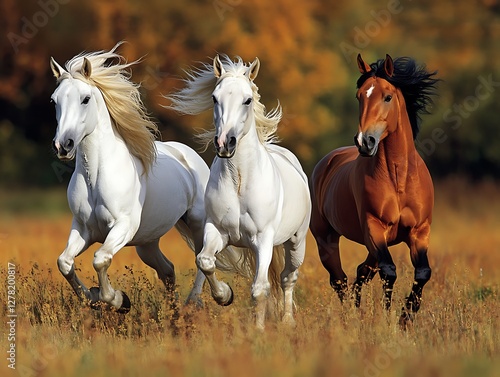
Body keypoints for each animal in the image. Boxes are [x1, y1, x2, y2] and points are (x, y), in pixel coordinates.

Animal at [48, 44, 211, 310]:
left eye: (85, 99)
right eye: (54, 101)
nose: (63, 145)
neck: (95, 176)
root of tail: (189, 156)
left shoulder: (123, 226)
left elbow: (100, 259)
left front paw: (117, 300)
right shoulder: (83, 229)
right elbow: (64, 262)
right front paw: (93, 298)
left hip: (197, 223)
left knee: (203, 260)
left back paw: (200, 301)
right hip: (147, 242)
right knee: (168, 269)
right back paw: (174, 311)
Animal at [168, 54, 312, 328]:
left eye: (247, 100)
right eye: (215, 98)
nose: (225, 143)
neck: (239, 182)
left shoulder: (263, 239)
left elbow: (259, 289)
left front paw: (258, 331)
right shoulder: (217, 231)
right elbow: (205, 261)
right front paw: (224, 295)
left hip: (295, 242)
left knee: (288, 278)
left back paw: (288, 322)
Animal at [310, 53, 440, 324]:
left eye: (387, 96)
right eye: (359, 96)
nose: (364, 142)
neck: (398, 179)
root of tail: (326, 162)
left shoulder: (420, 231)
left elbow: (423, 272)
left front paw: (407, 316)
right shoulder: (374, 228)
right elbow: (389, 273)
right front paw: (389, 318)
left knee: (361, 272)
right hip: (327, 239)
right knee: (340, 279)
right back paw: (350, 317)